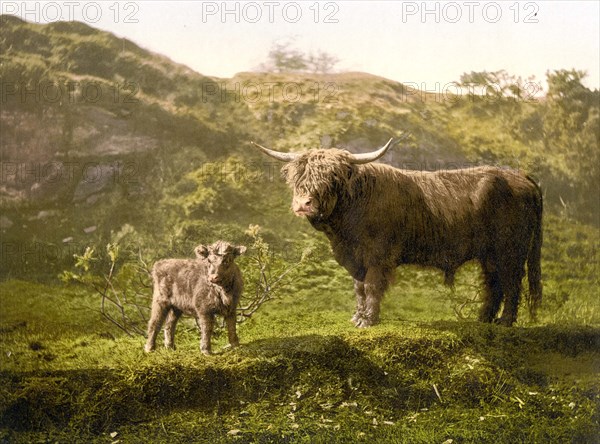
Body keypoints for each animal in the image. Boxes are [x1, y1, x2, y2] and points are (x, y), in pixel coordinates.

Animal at [251, 137, 540, 328]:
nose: (303, 203)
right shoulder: (354, 258)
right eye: (297, 177)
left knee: (512, 281)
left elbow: (372, 285)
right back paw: (483, 320)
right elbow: (358, 287)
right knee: (494, 282)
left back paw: (505, 322)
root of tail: (521, 177)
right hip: (489, 253)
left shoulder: (378, 255)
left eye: (332, 178)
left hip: (510, 250)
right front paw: (357, 316)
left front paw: (368, 320)